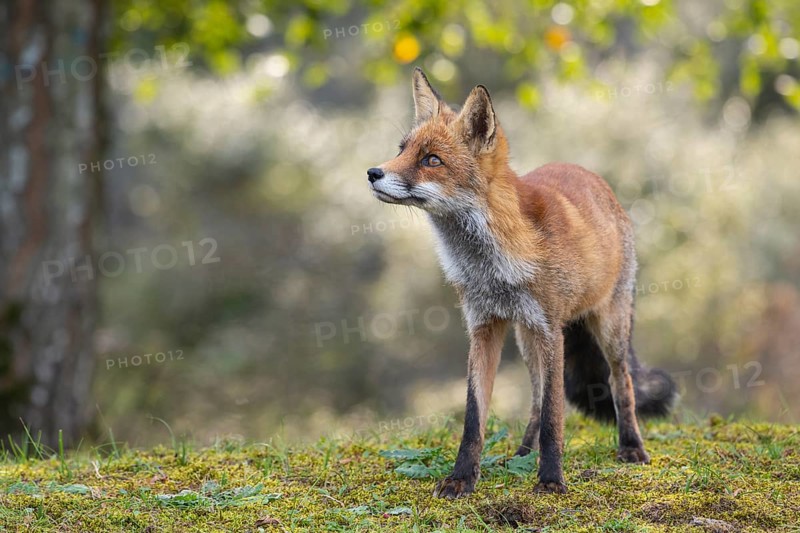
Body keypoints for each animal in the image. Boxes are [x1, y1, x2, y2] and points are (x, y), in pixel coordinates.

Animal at [367, 68, 677, 498]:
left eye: (432, 160)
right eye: (402, 149)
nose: (373, 173)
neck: (493, 265)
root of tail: (593, 176)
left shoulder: (551, 331)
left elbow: (554, 417)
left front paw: (551, 480)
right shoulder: (484, 326)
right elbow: (474, 417)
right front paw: (462, 478)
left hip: (607, 328)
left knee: (621, 383)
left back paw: (631, 447)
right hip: (527, 340)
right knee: (534, 399)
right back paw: (522, 454)